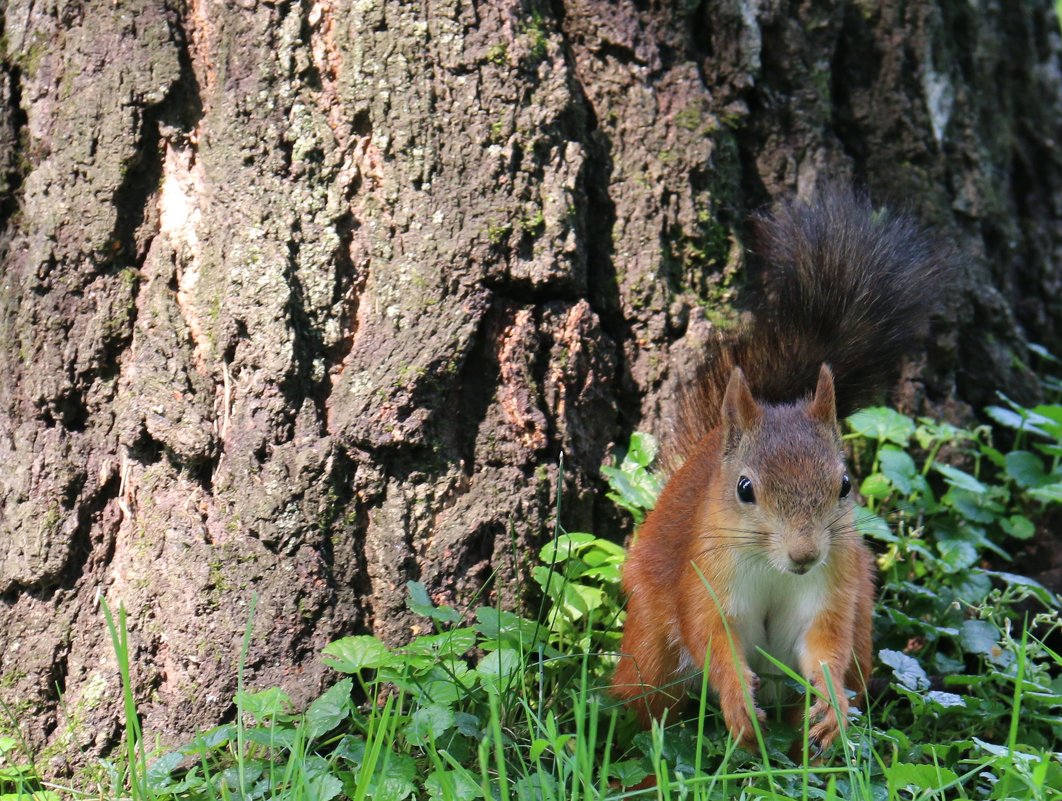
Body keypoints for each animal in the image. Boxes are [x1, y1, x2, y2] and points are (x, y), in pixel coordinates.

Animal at [611, 180, 951, 747]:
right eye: (745, 488)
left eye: (844, 484)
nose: (804, 554)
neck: (773, 570)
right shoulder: (704, 578)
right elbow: (712, 637)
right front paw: (739, 707)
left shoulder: (832, 588)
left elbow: (826, 645)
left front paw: (833, 705)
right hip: (648, 649)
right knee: (646, 701)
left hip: (861, 623)